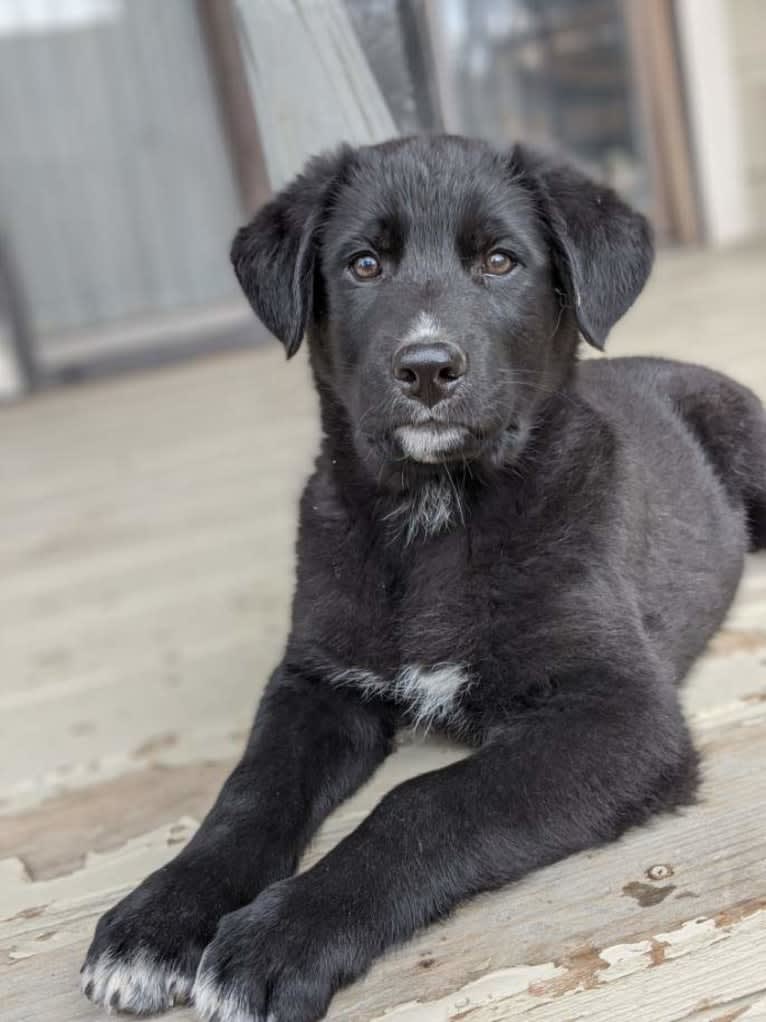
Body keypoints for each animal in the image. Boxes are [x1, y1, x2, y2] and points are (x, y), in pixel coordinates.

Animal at [79, 135, 766, 1021]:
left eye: (501, 260)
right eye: (364, 264)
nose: (429, 368)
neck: (434, 515)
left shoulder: (620, 713)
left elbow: (427, 802)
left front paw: (283, 936)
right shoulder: (316, 680)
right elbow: (250, 792)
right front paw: (161, 914)